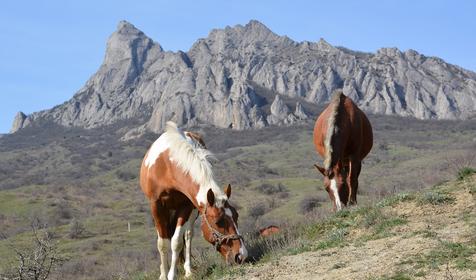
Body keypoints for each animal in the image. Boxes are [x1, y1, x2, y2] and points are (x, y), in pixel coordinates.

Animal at [139, 122, 247, 280]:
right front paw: (164, 274)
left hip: (193, 211)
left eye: (236, 216)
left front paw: (173, 274)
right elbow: (163, 243)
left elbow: (177, 241)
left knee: (188, 235)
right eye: (218, 222)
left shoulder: (186, 206)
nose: (241, 255)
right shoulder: (156, 206)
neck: (168, 166)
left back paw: (188, 270)